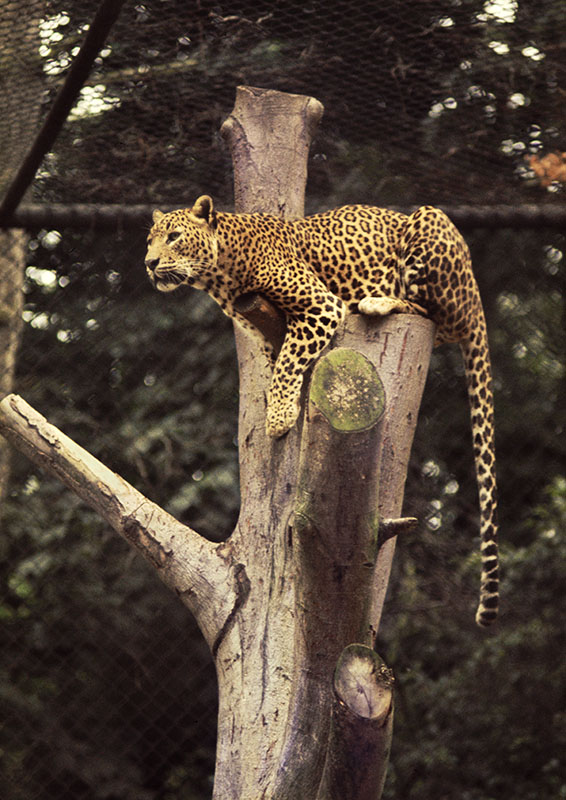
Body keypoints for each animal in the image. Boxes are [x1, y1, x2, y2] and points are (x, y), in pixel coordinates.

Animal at [145, 195, 499, 627]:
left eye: (174, 237)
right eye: (150, 240)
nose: (149, 263)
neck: (221, 274)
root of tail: (475, 292)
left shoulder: (320, 305)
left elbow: (288, 363)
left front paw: (279, 416)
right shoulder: (262, 330)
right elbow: (275, 364)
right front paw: (276, 402)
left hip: (430, 229)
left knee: (435, 315)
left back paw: (378, 300)